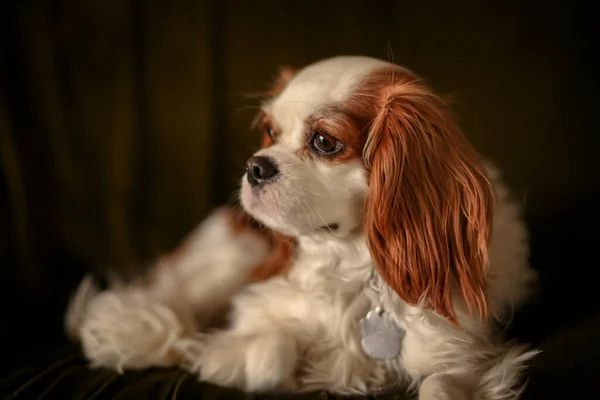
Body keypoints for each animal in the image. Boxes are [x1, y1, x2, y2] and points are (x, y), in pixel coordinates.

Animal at [65, 56, 540, 400]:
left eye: (325, 142)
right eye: (270, 132)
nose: (256, 166)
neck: (352, 266)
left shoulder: (462, 354)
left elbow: (440, 386)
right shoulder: (262, 302)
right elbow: (269, 349)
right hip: (232, 255)